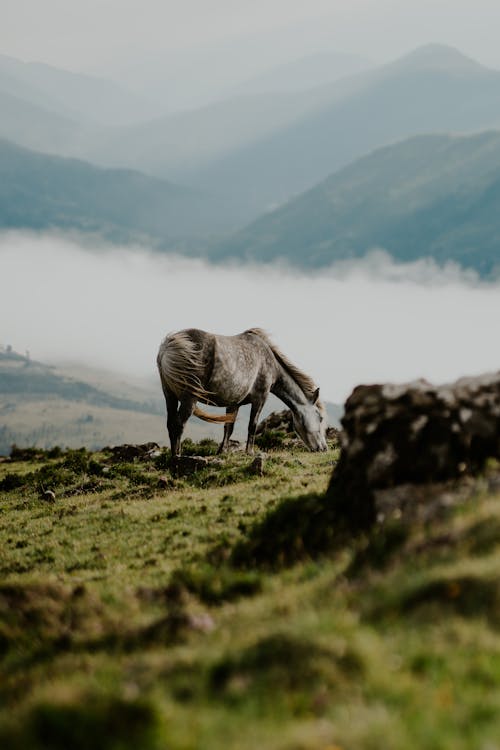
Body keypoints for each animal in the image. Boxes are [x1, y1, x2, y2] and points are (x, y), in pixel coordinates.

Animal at [156, 328, 328, 458]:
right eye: (319, 418)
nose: (324, 448)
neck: (269, 361)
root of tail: (168, 347)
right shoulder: (260, 398)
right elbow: (252, 425)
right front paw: (249, 452)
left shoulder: (234, 403)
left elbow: (228, 428)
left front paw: (222, 452)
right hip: (189, 398)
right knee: (179, 424)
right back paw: (177, 456)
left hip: (169, 396)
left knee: (171, 424)